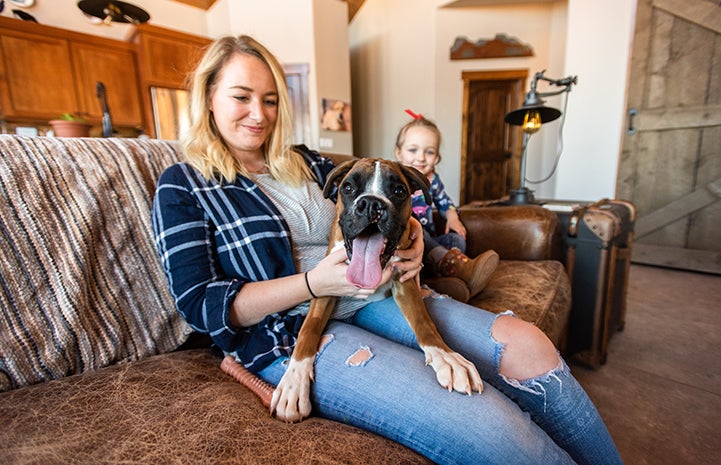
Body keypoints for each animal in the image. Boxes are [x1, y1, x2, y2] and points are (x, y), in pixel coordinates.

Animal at [272, 158, 484, 422]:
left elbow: (424, 321)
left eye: (399, 191)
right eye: (348, 188)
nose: (371, 204)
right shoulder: (325, 288)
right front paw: (293, 380)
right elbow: (308, 330)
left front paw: (446, 356)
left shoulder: (404, 281)